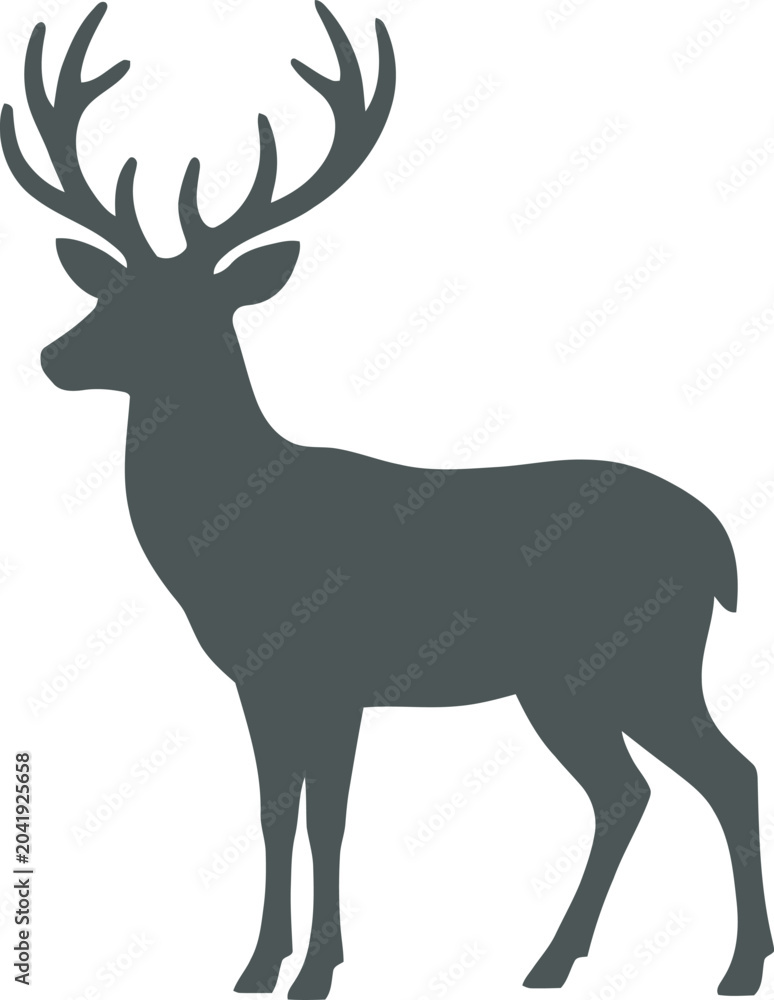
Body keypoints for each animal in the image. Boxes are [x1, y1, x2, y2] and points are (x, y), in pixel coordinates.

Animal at [3, 2, 772, 997]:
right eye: (115, 290)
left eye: (186, 308)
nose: (53, 356)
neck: (233, 536)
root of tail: (721, 546)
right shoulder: (261, 681)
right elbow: (273, 812)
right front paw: (257, 965)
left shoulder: (333, 673)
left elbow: (327, 818)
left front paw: (316, 971)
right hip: (567, 681)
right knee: (628, 790)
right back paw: (554, 960)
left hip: (642, 659)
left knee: (725, 774)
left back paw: (734, 967)